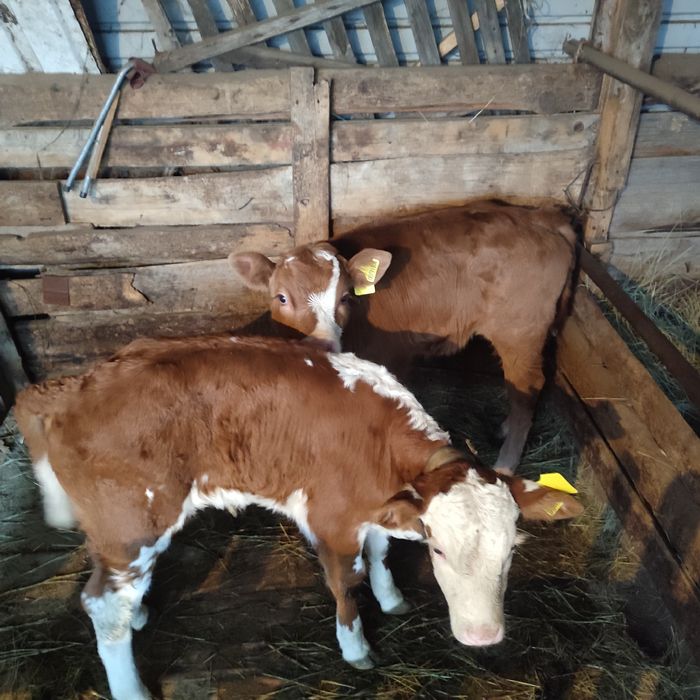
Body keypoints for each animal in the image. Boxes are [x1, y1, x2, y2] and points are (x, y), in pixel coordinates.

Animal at [14, 335, 582, 700]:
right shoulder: (332, 519)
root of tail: (74, 385)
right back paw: (131, 687)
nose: (482, 637)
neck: (380, 448)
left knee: (111, 593)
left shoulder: (377, 506)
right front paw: (355, 647)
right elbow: (346, 582)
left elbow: (381, 552)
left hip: (115, 533)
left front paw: (391, 597)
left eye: (510, 549)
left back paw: (139, 614)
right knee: (101, 605)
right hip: (135, 522)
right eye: (438, 548)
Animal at [230, 201, 578, 474]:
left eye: (345, 297)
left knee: (527, 388)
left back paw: (505, 464)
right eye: (281, 298)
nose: (321, 343)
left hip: (519, 332)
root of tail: (538, 216)